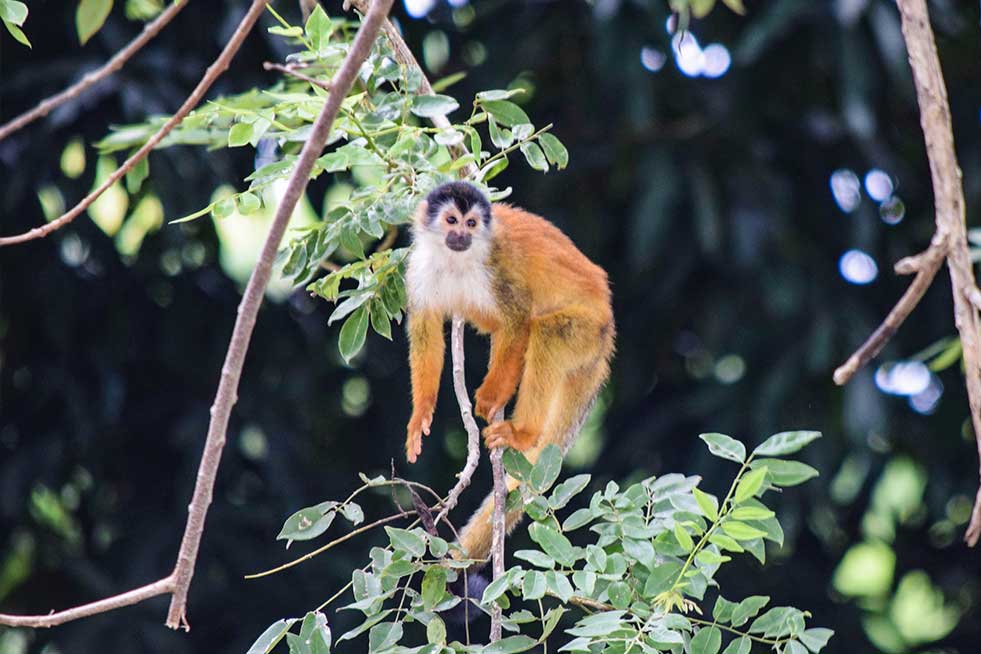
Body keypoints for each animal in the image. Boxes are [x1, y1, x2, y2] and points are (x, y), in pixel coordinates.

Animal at [404, 181, 615, 565]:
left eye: (471, 224)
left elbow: (518, 322)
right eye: (452, 220)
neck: (456, 261)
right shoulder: (419, 269)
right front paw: (421, 412)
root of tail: (607, 337)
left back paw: (523, 433)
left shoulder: (496, 268)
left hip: (589, 332)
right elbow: (426, 328)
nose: (461, 235)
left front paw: (491, 397)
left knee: (543, 333)